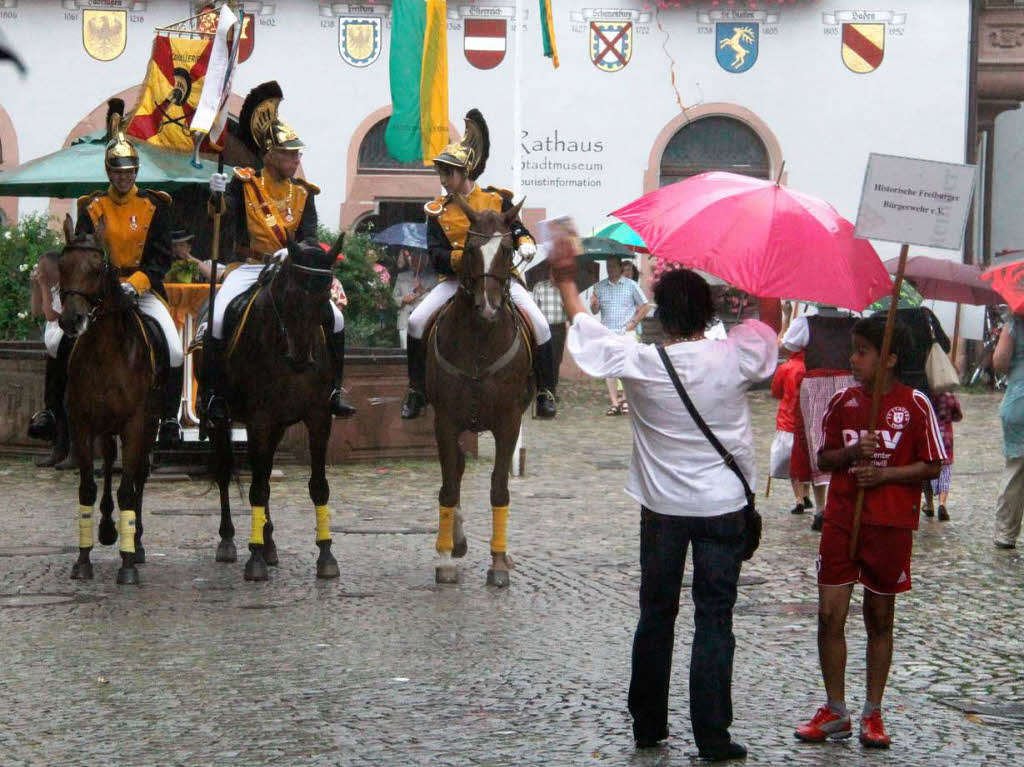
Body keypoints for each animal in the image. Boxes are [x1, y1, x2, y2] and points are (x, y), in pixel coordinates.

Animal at [57, 211, 164, 581]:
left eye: (97, 268)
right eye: (62, 266)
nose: (71, 320)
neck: (105, 353)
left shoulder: (135, 424)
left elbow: (128, 489)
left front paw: (128, 562)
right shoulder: (82, 424)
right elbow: (88, 487)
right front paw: (83, 558)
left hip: (148, 426)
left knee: (139, 478)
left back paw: (138, 543)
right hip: (105, 428)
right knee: (106, 471)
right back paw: (106, 528)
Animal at [196, 233, 344, 581]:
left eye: (324, 301)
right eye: (289, 296)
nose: (302, 360)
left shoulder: (319, 418)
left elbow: (318, 487)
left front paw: (326, 554)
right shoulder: (259, 420)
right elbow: (257, 489)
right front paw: (254, 559)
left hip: (276, 427)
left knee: (261, 473)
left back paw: (269, 543)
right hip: (224, 421)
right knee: (227, 473)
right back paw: (229, 541)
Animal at [423, 194, 536, 581]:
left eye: (508, 248)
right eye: (470, 249)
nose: (488, 308)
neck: (480, 340)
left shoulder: (509, 423)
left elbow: (499, 489)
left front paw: (499, 562)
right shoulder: (444, 421)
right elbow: (447, 488)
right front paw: (444, 558)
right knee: (455, 472)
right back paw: (454, 542)